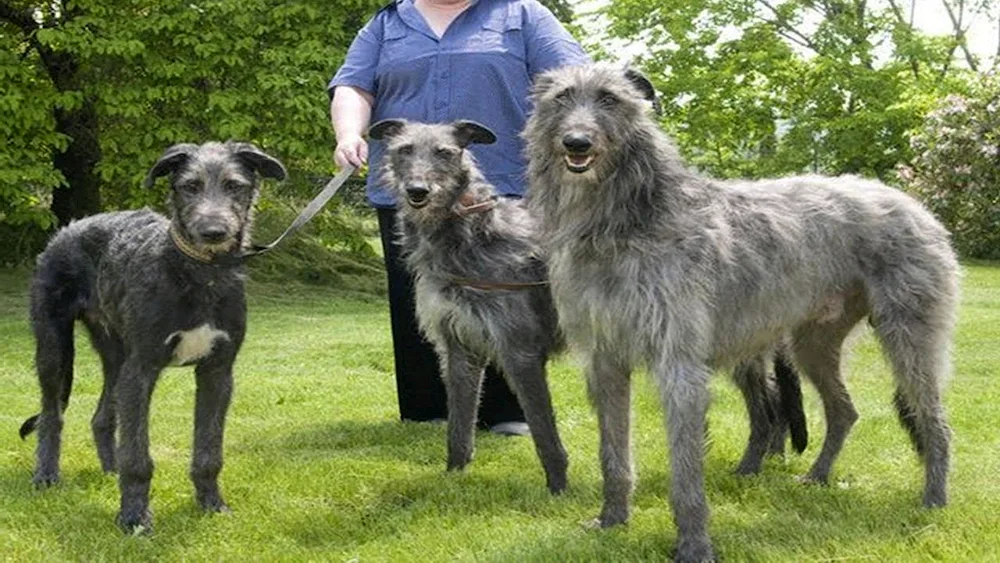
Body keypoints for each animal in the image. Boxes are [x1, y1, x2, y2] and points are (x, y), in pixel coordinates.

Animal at [19, 141, 286, 532]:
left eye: (235, 185)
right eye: (190, 186)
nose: (213, 232)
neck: (199, 273)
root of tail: (66, 230)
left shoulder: (218, 372)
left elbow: (208, 452)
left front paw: (212, 504)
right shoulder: (142, 369)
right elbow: (138, 457)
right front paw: (133, 517)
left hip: (116, 354)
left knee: (102, 417)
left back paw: (110, 469)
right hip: (55, 346)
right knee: (52, 415)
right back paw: (46, 475)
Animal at [524, 62, 960, 563]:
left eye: (609, 99)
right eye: (561, 97)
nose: (576, 143)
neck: (625, 221)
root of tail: (913, 203)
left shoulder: (680, 364)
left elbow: (686, 472)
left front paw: (694, 545)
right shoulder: (605, 359)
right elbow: (612, 453)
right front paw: (612, 519)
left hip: (909, 335)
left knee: (935, 420)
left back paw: (934, 498)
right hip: (813, 342)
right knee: (844, 410)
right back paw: (818, 475)